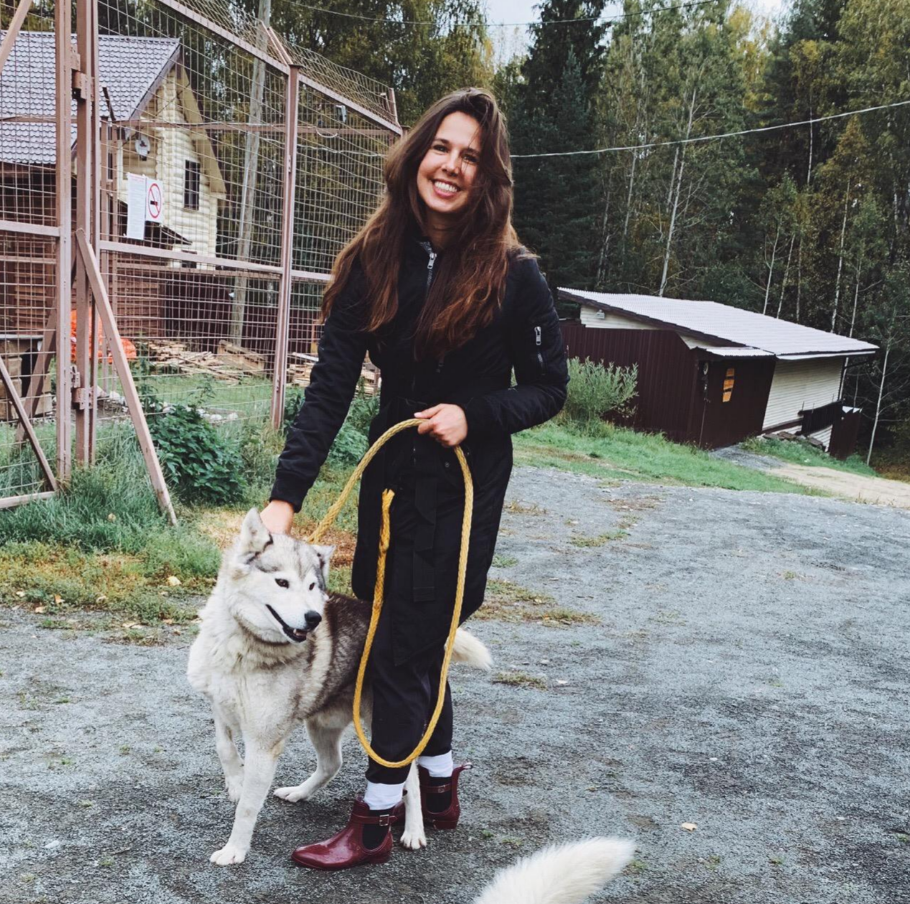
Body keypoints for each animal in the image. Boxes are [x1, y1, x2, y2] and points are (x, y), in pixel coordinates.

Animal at [187, 508, 492, 866]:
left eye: (311, 586)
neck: (244, 644)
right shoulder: (220, 706)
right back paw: (300, 792)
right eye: (282, 582)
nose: (313, 617)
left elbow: (248, 807)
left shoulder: (264, 743)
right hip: (321, 723)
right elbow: (224, 747)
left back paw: (414, 830)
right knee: (333, 764)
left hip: (383, 726)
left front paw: (235, 849)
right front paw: (235, 781)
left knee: (412, 779)